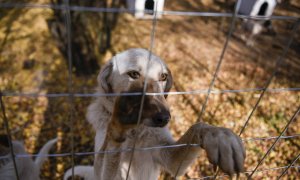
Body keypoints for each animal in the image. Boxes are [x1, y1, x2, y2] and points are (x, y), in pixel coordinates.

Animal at [64, 48, 245, 180]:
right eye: (134, 74)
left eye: (163, 76)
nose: (164, 118)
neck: (135, 133)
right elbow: (110, 146)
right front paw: (118, 124)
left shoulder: (172, 160)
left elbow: (198, 126)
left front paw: (219, 135)